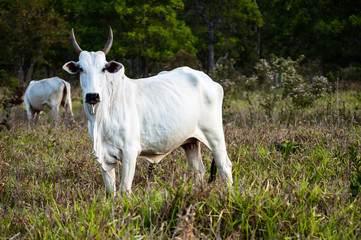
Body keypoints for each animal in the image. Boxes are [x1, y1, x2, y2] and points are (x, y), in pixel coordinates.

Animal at [62, 27, 232, 197]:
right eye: (81, 68)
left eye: (103, 68)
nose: (92, 96)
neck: (101, 117)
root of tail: (209, 80)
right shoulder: (104, 157)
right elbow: (111, 191)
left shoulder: (130, 152)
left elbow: (124, 189)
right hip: (190, 142)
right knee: (198, 171)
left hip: (214, 134)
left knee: (225, 166)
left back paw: (230, 195)